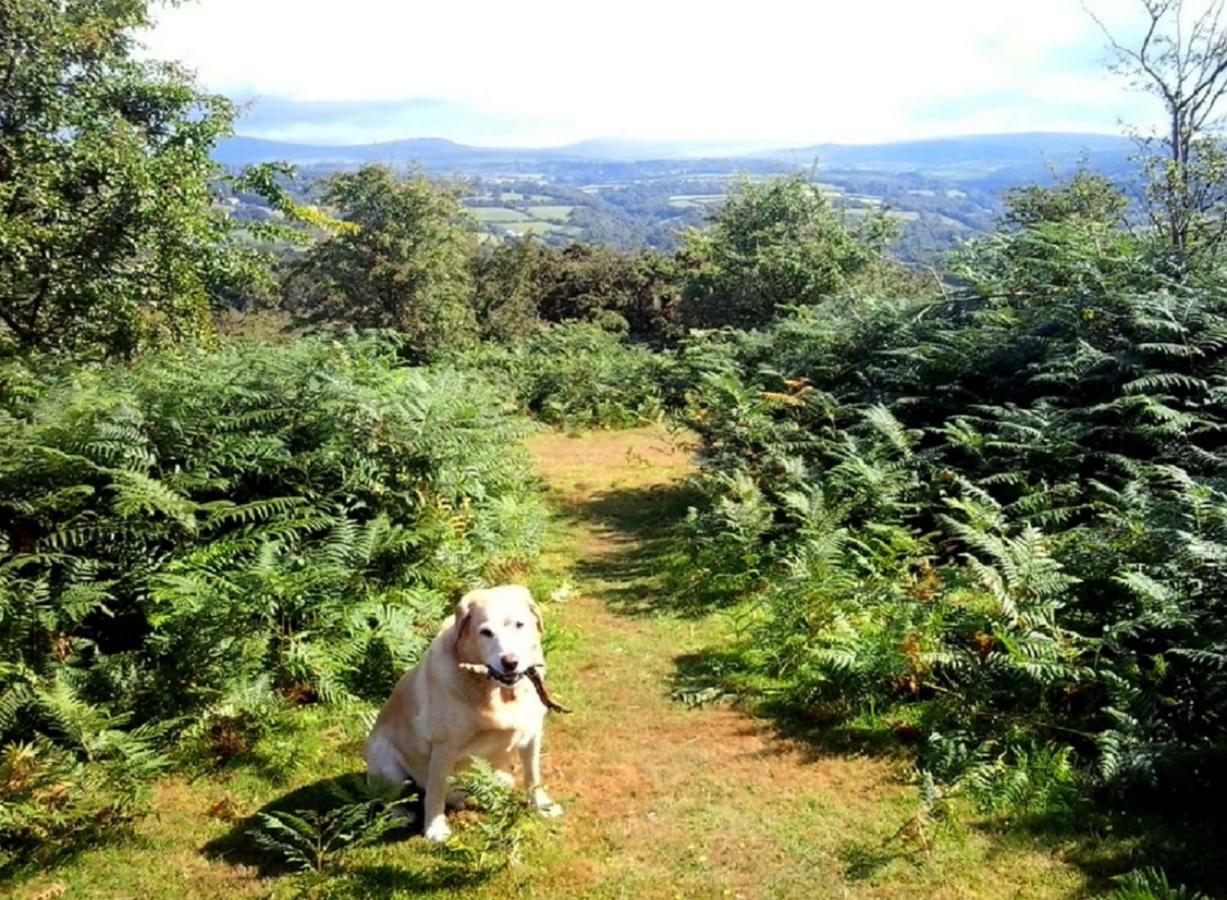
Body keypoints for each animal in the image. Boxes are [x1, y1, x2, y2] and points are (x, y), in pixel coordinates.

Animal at [358, 581, 561, 844]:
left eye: (520, 624)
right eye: (486, 632)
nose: (510, 662)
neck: (497, 693)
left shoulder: (533, 732)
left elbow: (533, 776)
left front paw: (542, 806)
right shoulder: (443, 747)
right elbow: (435, 792)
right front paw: (435, 829)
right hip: (385, 763)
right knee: (392, 796)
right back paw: (402, 812)